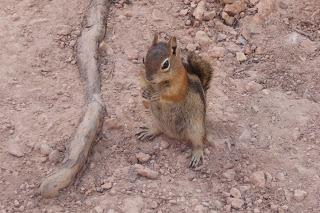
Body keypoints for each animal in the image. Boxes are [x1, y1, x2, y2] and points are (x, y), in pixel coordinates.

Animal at [136, 33, 212, 167]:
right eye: (144, 59)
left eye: (165, 64)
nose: (149, 77)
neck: (158, 84)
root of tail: (174, 135)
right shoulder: (143, 77)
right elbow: (143, 84)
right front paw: (144, 92)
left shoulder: (178, 87)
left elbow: (171, 95)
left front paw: (157, 95)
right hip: (157, 119)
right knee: (159, 129)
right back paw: (150, 131)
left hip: (196, 128)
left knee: (199, 142)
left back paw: (197, 154)